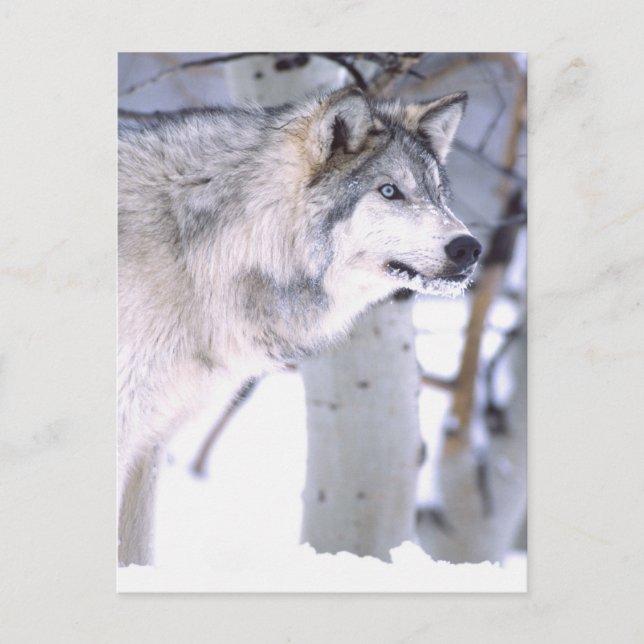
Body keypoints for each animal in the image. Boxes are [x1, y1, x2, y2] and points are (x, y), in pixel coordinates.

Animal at [118, 87, 481, 566]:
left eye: (438, 196)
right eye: (390, 191)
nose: (470, 248)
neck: (195, 252)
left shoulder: (148, 444)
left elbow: (136, 554)